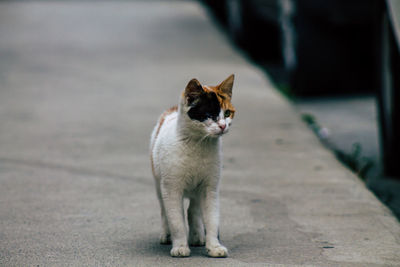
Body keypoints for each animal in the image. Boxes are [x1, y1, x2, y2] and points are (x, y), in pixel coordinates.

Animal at [152, 75, 236, 258]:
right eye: (210, 115)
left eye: (227, 113)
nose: (223, 126)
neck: (198, 144)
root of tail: (172, 109)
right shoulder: (171, 189)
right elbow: (176, 221)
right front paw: (180, 246)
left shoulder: (210, 188)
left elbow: (212, 219)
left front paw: (214, 246)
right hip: (158, 184)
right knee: (164, 211)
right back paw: (166, 235)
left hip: (198, 190)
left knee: (193, 210)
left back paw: (197, 236)